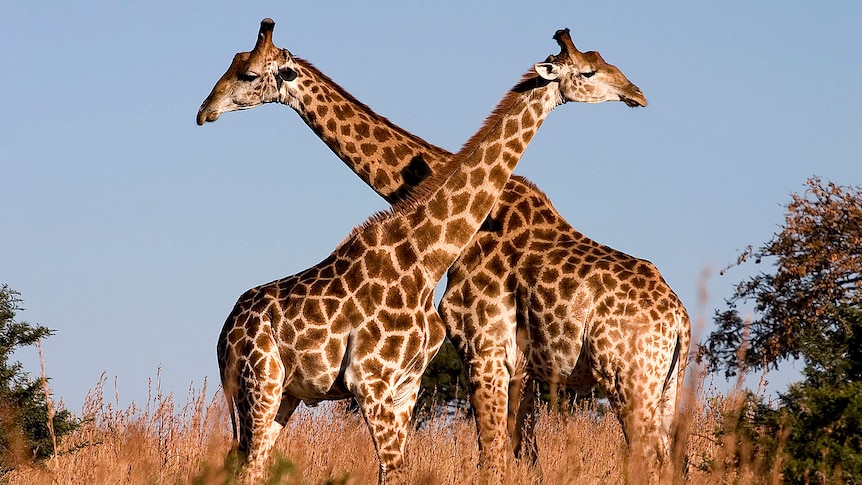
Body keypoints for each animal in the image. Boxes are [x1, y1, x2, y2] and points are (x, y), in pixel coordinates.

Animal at [201, 18, 676, 480]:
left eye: (246, 74)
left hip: (636, 381)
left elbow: (490, 459)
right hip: (263, 386)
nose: (205, 111)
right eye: (591, 69)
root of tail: (682, 321)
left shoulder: (451, 365)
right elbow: (498, 458)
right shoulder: (449, 366)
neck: (423, 250)